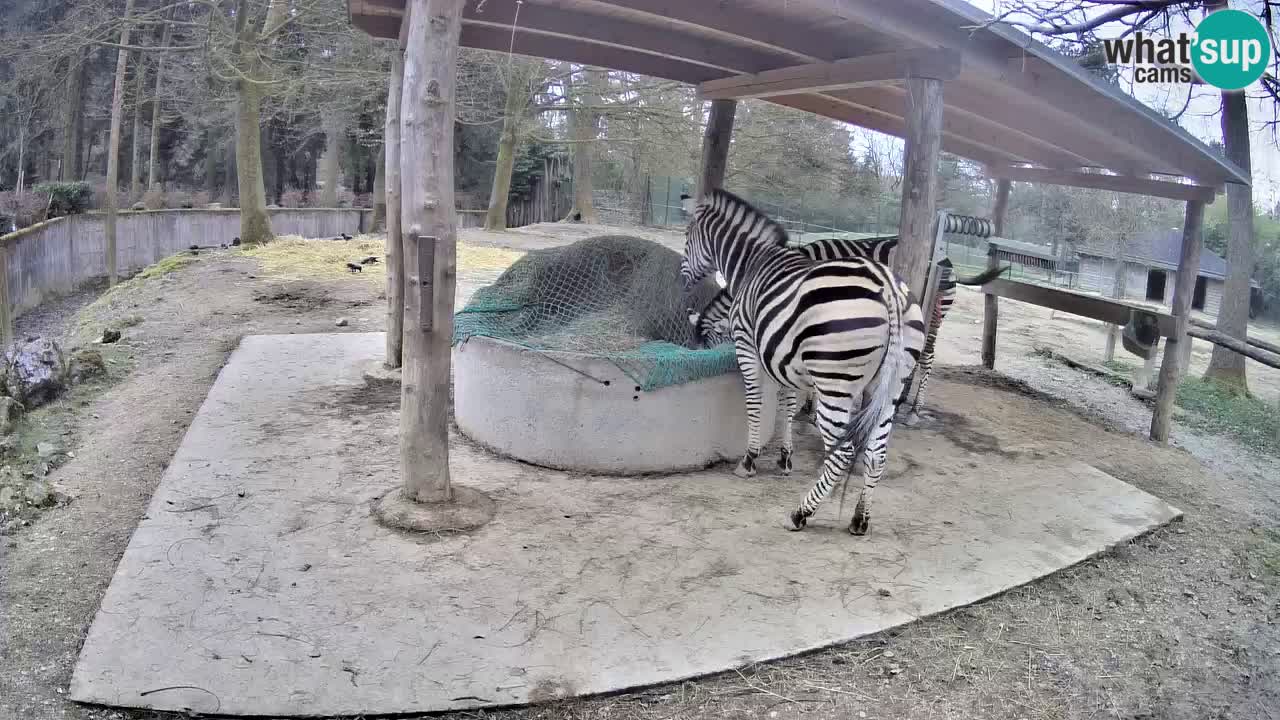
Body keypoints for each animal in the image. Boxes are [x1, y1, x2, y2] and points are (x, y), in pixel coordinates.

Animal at [679, 189, 926, 535]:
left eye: (688, 235)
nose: (682, 279)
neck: (751, 265)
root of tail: (888, 287)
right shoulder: (784, 358)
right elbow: (787, 405)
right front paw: (785, 458)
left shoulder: (748, 346)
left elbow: (755, 402)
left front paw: (750, 460)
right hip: (889, 387)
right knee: (876, 453)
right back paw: (860, 519)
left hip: (836, 384)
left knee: (843, 451)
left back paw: (800, 513)